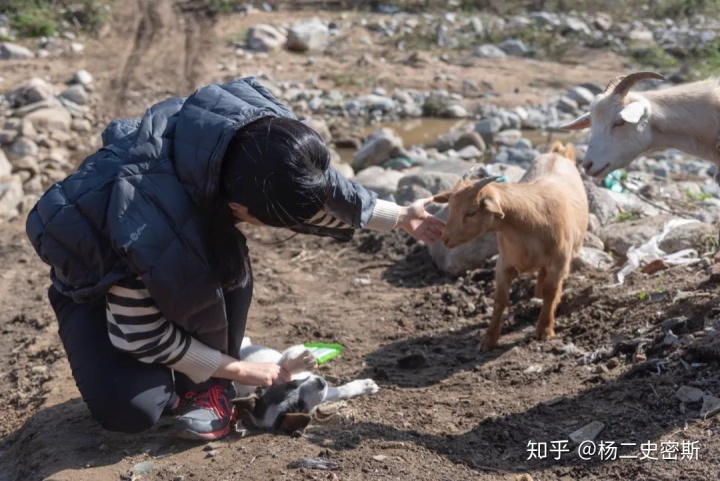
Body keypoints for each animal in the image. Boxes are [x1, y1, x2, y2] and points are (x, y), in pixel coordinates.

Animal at [235, 338, 382, 436]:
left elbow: (284, 363)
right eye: (300, 406)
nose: (320, 382)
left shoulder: (275, 369)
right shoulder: (320, 396)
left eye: (290, 385)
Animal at [436, 142, 588, 348]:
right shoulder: (504, 262)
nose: (445, 239)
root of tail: (559, 153)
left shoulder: (559, 261)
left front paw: (545, 329)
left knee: (555, 285)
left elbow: (551, 291)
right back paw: (537, 295)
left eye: (471, 212)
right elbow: (500, 299)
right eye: (450, 208)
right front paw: (489, 339)